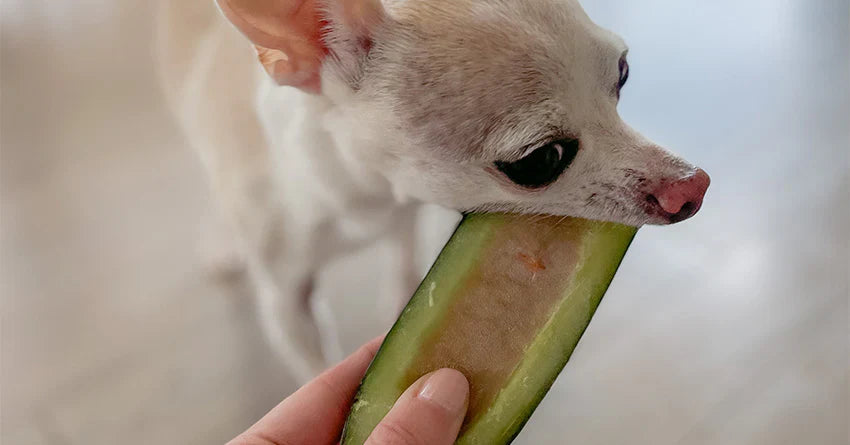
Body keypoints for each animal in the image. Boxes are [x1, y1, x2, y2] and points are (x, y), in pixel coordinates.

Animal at [154, 0, 708, 382]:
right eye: (541, 160)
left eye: (623, 75)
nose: (693, 187)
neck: (368, 198)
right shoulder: (287, 302)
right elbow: (313, 364)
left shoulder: (405, 211)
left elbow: (403, 263)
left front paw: (399, 310)